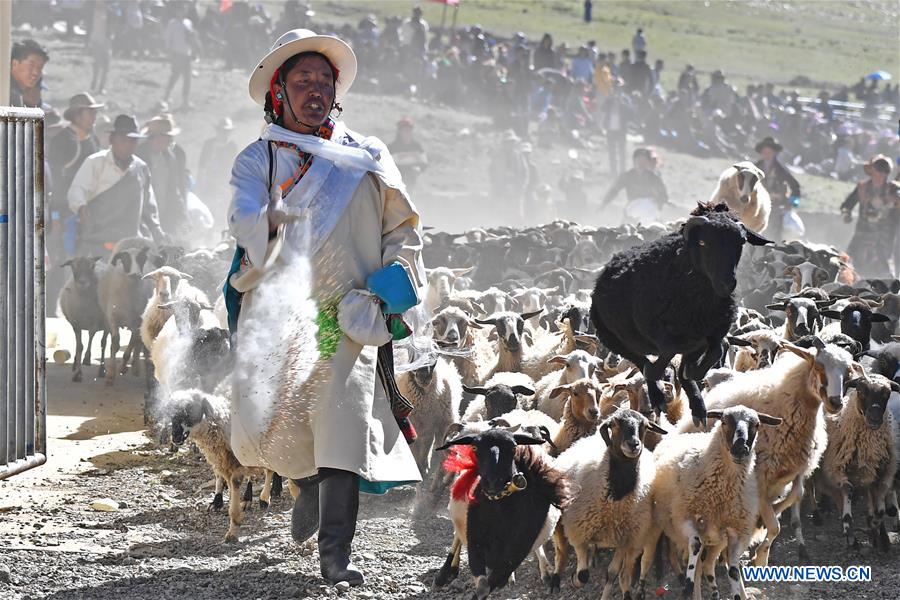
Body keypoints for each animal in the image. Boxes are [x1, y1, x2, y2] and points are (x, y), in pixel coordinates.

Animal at [588, 204, 768, 424]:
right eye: (703, 242)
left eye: (740, 242)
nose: (727, 284)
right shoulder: (660, 332)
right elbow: (669, 353)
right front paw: (663, 374)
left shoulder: (712, 333)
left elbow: (714, 351)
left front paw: (692, 375)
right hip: (610, 336)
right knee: (640, 360)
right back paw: (657, 395)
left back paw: (697, 408)